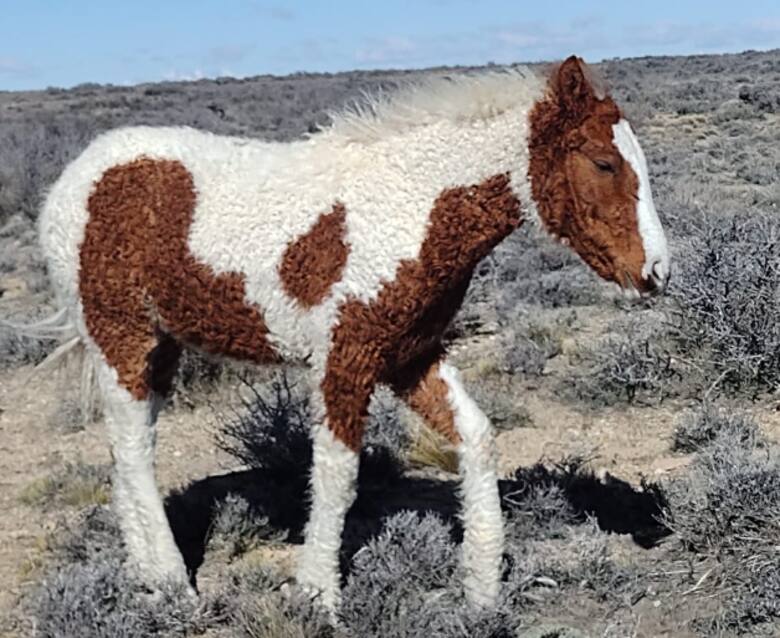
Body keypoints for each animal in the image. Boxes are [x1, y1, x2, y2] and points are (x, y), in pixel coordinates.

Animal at [35, 55, 670, 610]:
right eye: (603, 162)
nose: (658, 271)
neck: (410, 204)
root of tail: (75, 176)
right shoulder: (346, 357)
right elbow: (338, 472)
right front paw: (317, 595)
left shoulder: (412, 356)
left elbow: (477, 436)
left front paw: (482, 589)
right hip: (121, 336)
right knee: (133, 454)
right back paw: (172, 583)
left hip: (158, 348)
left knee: (127, 449)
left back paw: (144, 574)